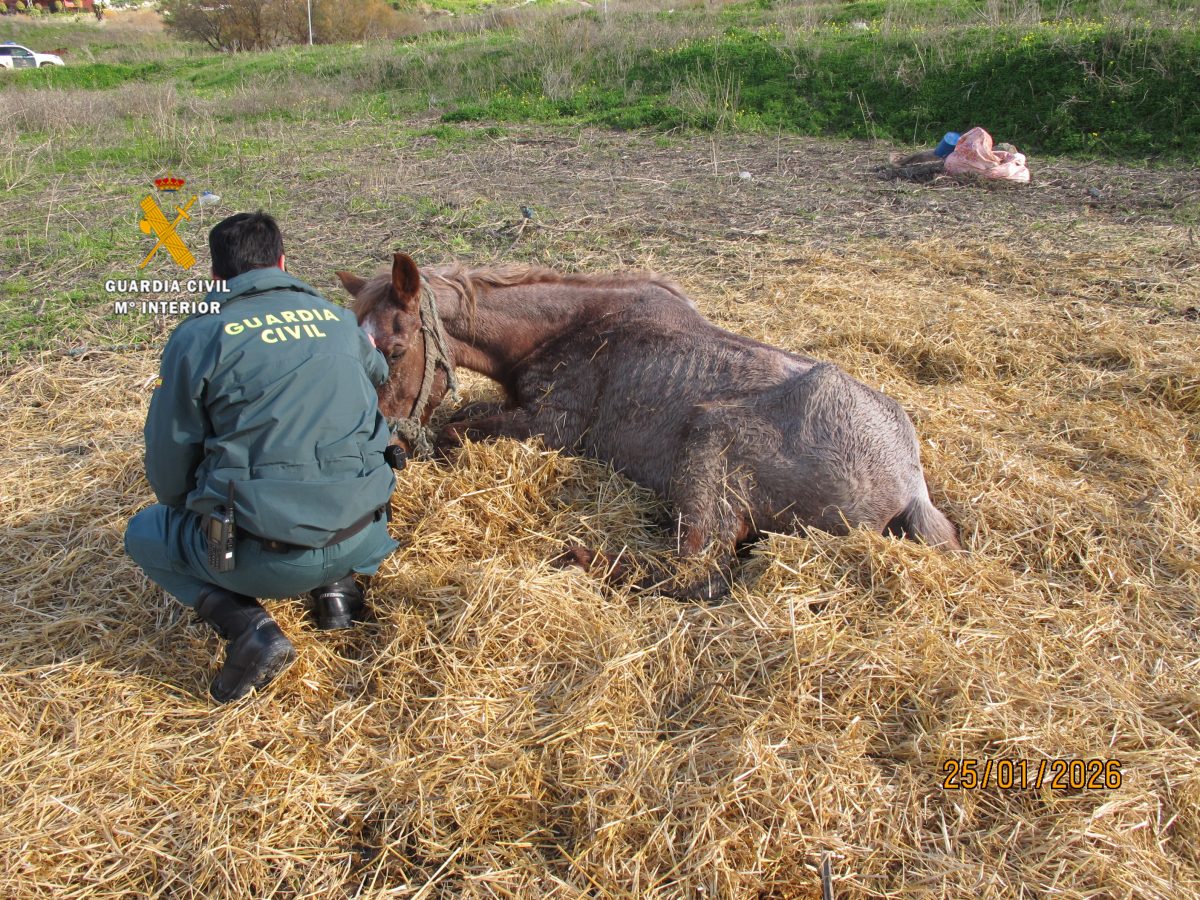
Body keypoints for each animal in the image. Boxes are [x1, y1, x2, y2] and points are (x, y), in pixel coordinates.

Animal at [337, 253, 961, 596]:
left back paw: (581, 559)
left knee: (693, 567)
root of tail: (908, 485)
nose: (385, 453)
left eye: (395, 351)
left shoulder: (553, 426)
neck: (567, 329)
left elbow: (454, 430)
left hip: (707, 445)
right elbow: (461, 418)